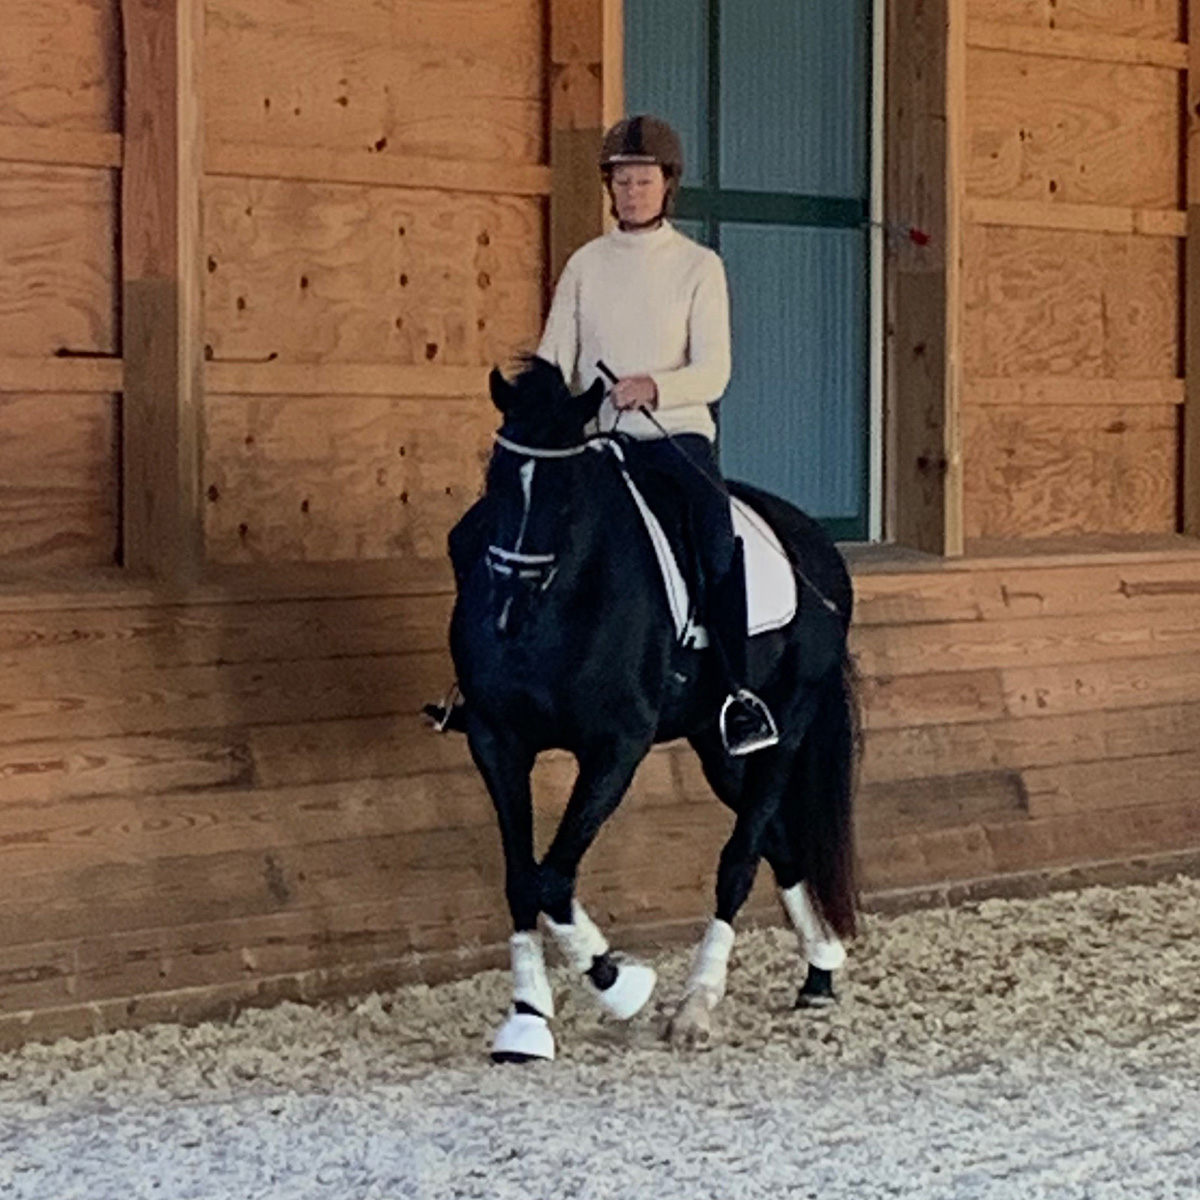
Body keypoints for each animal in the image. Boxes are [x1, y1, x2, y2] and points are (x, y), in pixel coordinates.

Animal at [446, 357, 859, 1060]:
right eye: (497, 477)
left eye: (565, 493)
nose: (507, 614)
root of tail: (819, 547)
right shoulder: (495, 739)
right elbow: (524, 876)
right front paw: (528, 1017)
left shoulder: (618, 745)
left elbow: (553, 877)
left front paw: (620, 985)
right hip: (718, 745)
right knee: (777, 840)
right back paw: (819, 969)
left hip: (788, 724)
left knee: (740, 859)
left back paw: (697, 1006)